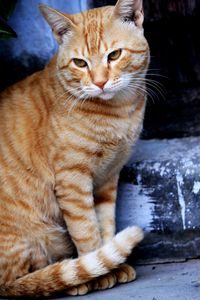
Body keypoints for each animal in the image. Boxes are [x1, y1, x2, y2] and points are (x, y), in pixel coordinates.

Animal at [0, 0, 148, 296]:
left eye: (114, 55)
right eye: (80, 63)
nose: (100, 82)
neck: (119, 112)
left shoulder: (108, 178)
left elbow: (105, 224)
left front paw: (113, 265)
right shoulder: (72, 181)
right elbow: (87, 230)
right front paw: (101, 273)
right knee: (18, 282)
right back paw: (69, 281)